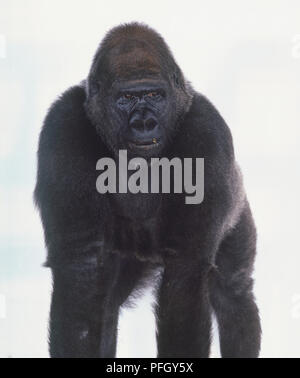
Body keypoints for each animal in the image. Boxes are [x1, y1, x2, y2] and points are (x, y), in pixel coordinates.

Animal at [34, 22, 260, 358]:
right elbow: (81, 267)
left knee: (235, 290)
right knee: (107, 302)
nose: (144, 124)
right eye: (126, 98)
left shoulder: (208, 132)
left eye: (154, 95)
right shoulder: (62, 124)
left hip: (237, 209)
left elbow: (185, 273)